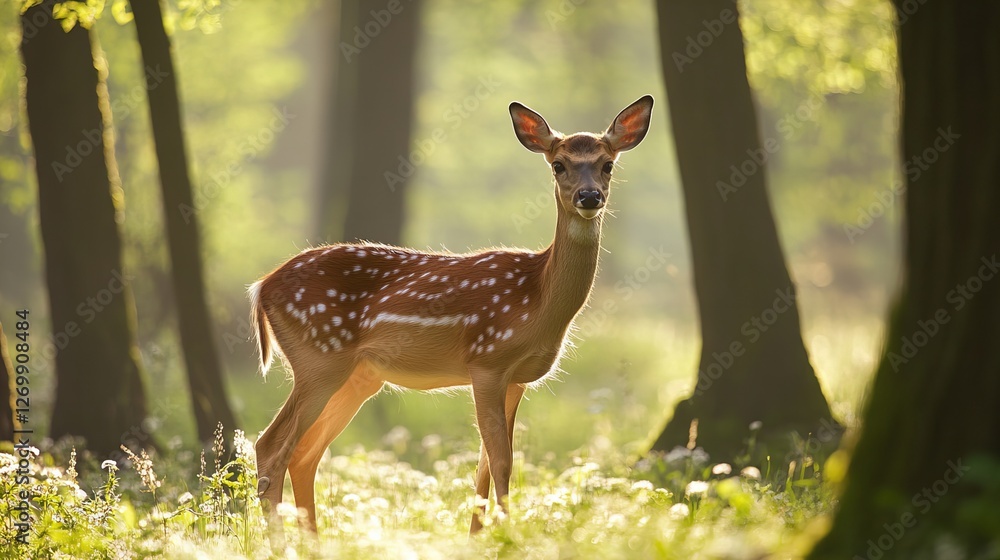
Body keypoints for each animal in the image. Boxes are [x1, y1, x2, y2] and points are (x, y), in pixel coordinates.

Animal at [249, 95, 653, 536]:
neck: (538, 299)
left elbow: (485, 465)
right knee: (271, 445)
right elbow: (503, 462)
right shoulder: (488, 361)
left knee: (305, 453)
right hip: (319, 357)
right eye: (558, 164)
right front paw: (507, 538)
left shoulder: (517, 379)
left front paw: (478, 537)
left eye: (608, 164)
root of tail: (261, 286)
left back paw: (313, 543)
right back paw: (282, 542)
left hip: (359, 376)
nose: (589, 196)